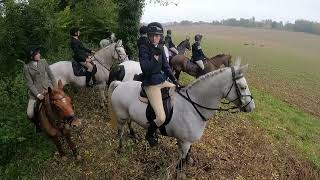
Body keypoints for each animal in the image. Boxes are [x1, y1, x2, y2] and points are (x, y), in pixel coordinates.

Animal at [109, 58, 256, 170]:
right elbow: (180, 163)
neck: (193, 106)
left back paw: (134, 136)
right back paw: (121, 149)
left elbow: (188, 154)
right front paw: (180, 171)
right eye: (243, 87)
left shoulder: (188, 142)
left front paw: (189, 161)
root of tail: (119, 85)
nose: (251, 107)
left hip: (128, 115)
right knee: (120, 132)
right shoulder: (184, 143)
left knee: (129, 123)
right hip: (121, 117)